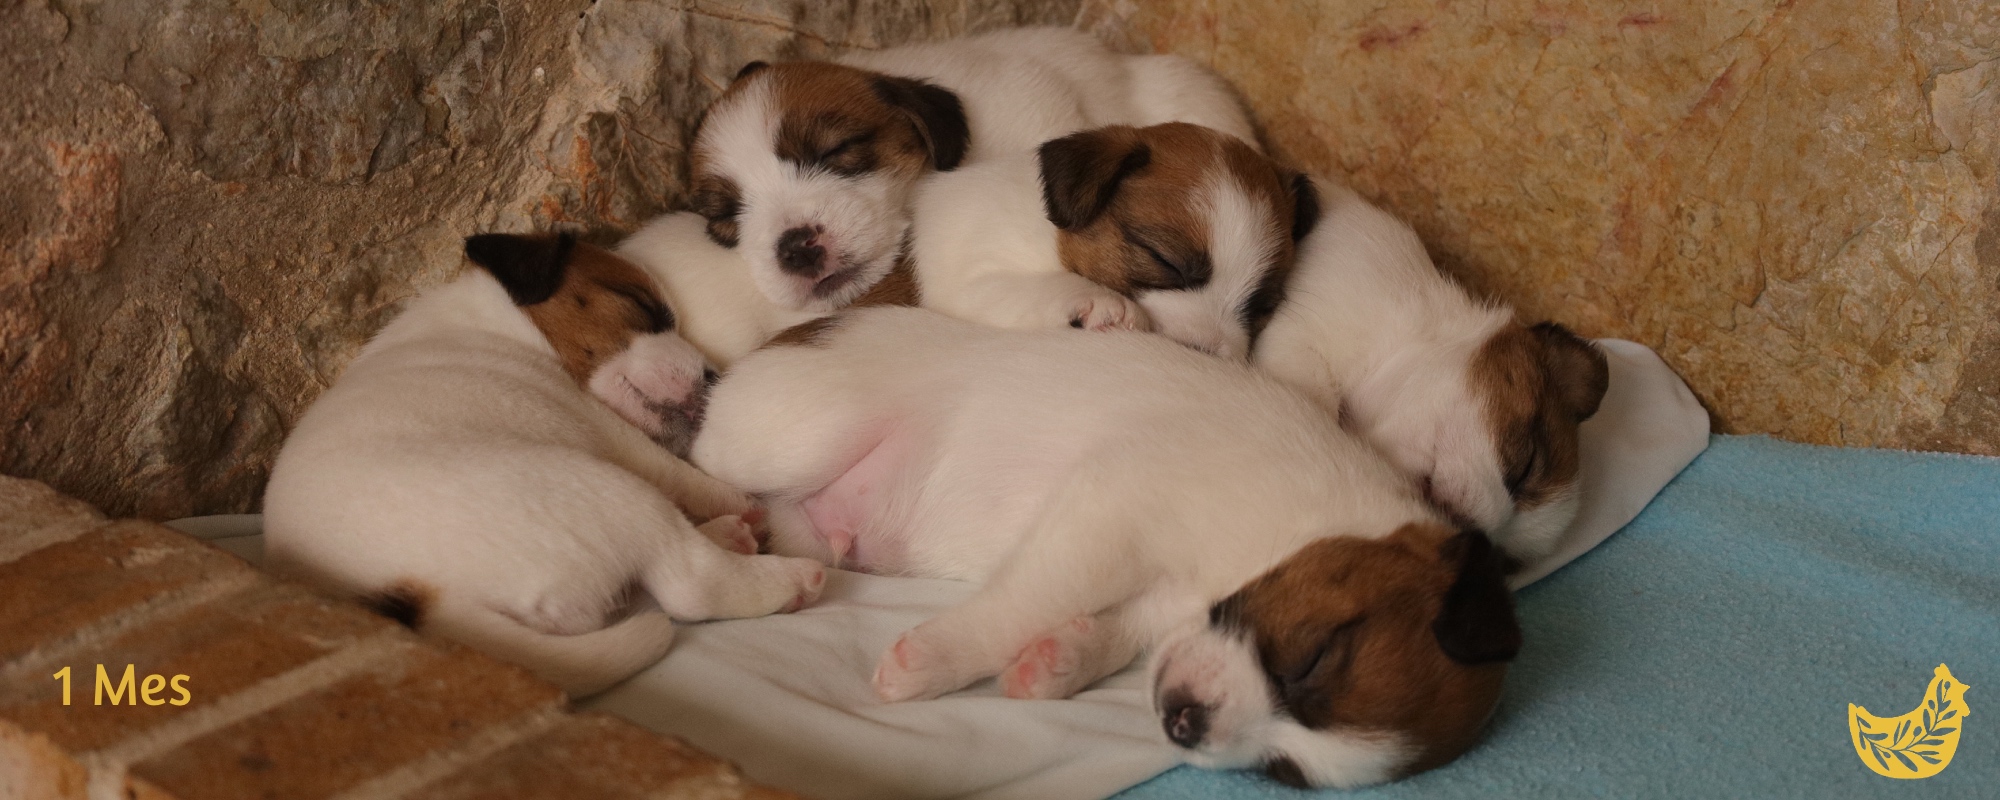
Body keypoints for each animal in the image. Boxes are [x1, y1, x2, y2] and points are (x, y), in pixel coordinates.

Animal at [266, 230, 828, 692]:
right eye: (644, 308)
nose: (713, 378)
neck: (501, 327)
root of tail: (428, 600)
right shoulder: (610, 430)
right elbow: (686, 476)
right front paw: (742, 501)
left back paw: (728, 536)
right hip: (608, 490)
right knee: (692, 581)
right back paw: (789, 576)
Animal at [688, 308, 1512, 788]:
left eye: (1282, 772)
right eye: (1313, 660)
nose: (1184, 725)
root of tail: (786, 335)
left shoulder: (1155, 601)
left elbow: (1111, 631)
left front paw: (1059, 662)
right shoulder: (1109, 511)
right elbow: (1024, 603)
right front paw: (937, 659)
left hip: (815, 519)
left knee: (781, 518)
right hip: (801, 435)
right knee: (699, 464)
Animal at [916, 122, 1320, 360]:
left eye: (1262, 304)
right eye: (1164, 260)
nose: (1197, 354)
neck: (1050, 238)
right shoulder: (968, 284)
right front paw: (1103, 302)